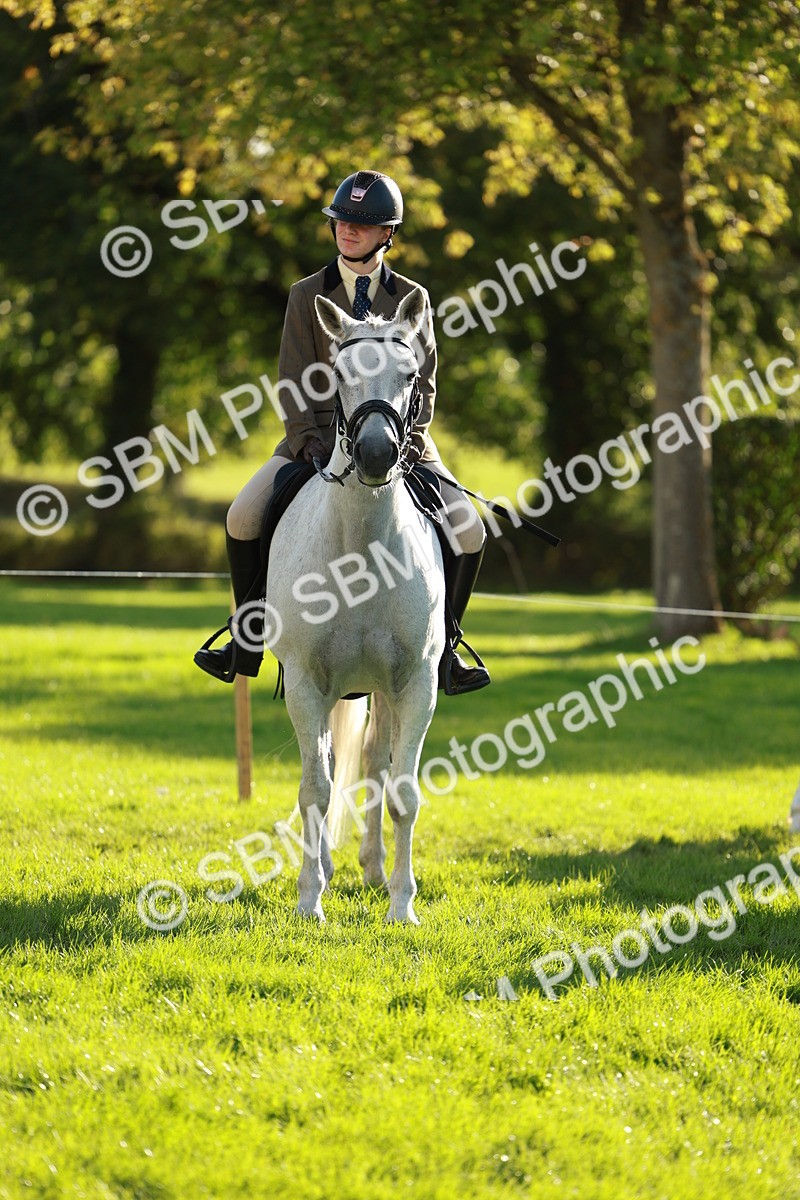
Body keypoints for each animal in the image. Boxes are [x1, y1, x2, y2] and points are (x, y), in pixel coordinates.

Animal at [266, 287, 446, 924]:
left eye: (411, 373)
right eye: (336, 375)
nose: (374, 454)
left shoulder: (417, 682)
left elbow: (404, 791)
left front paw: (403, 907)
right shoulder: (304, 683)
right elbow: (314, 789)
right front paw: (308, 900)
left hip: (384, 690)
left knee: (373, 765)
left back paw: (373, 871)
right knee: (330, 765)